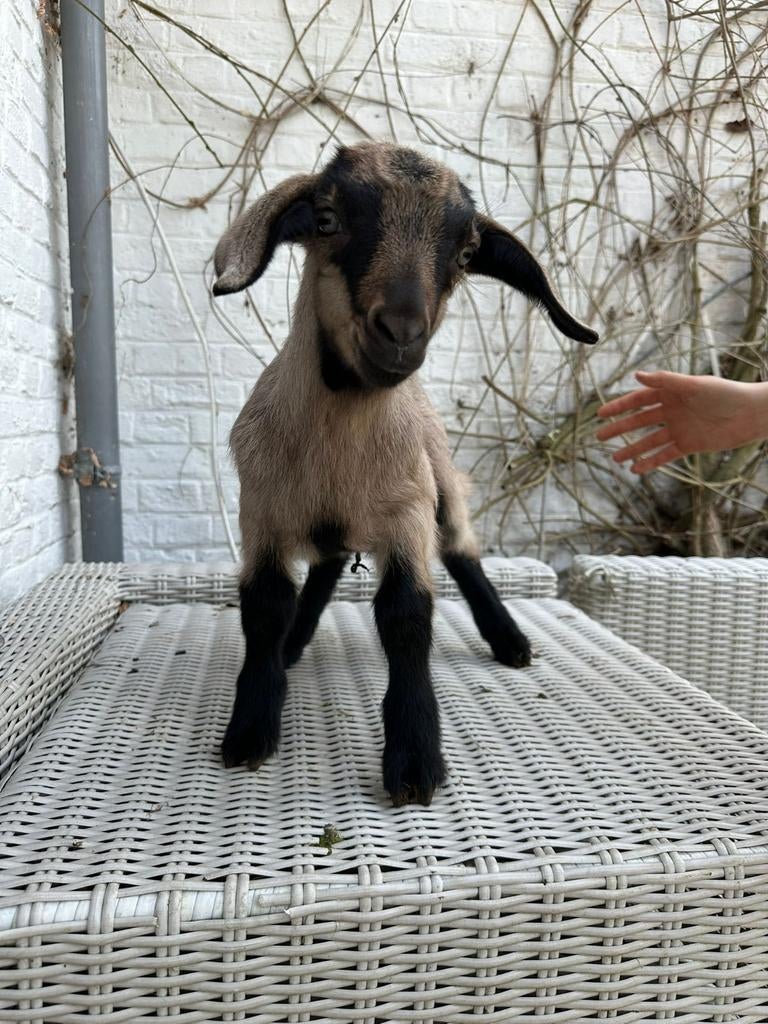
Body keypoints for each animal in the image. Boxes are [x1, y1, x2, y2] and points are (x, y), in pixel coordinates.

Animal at [212, 141, 598, 807]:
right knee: (328, 564)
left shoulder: (407, 516)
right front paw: (251, 728)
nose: (400, 333)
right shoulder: (260, 514)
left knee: (462, 550)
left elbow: (407, 617)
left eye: (466, 254)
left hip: (440, 476)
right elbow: (263, 610)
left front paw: (416, 761)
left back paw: (509, 640)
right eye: (326, 219)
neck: (337, 442)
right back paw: (297, 642)